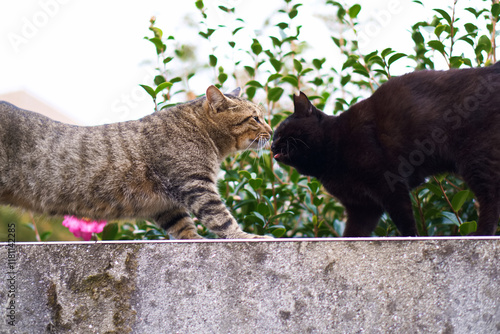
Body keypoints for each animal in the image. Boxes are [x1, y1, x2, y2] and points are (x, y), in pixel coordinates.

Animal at [0, 85, 272, 239]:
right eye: (255, 118)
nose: (271, 130)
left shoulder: (165, 205)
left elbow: (183, 227)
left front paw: (193, 240)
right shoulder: (196, 184)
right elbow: (220, 217)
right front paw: (245, 236)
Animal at [272, 62, 500, 235]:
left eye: (281, 131)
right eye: (274, 135)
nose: (272, 144)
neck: (332, 146)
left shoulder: (388, 183)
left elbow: (404, 217)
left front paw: (411, 238)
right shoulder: (362, 207)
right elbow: (354, 233)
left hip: (475, 156)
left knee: (490, 196)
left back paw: (481, 233)